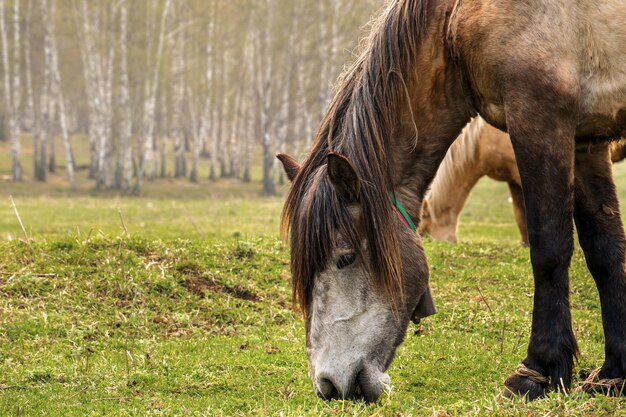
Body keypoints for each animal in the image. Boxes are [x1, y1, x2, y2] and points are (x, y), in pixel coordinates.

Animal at [278, 0, 624, 404]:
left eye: (345, 257)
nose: (328, 384)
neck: (456, 20)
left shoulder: (540, 121)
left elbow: (548, 251)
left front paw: (538, 371)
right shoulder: (586, 140)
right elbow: (605, 252)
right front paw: (613, 374)